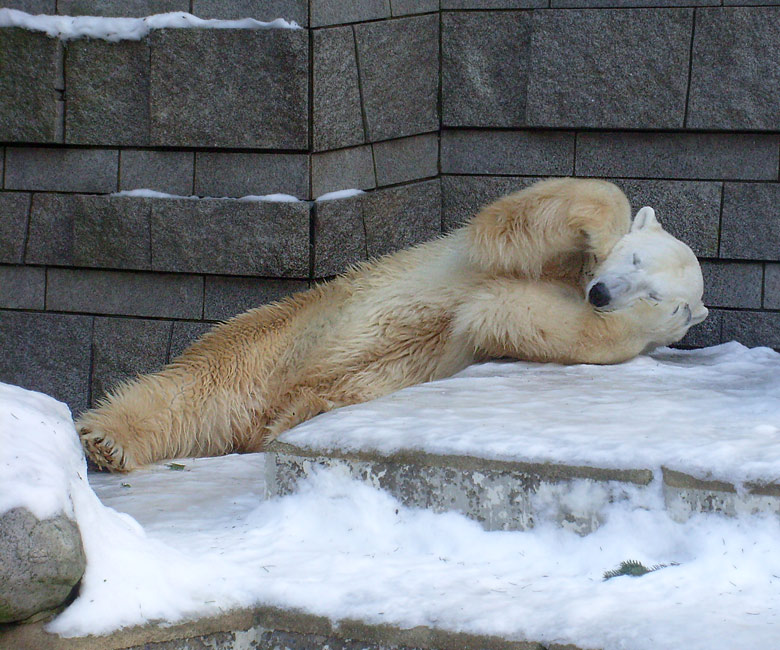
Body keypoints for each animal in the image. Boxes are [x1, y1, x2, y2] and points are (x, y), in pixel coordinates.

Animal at [77, 177, 708, 470]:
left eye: (655, 289)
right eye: (632, 259)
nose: (603, 292)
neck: (574, 280)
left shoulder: (516, 316)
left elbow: (513, 316)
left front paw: (648, 318)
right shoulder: (494, 252)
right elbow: (512, 225)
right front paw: (603, 231)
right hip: (281, 336)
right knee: (193, 388)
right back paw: (107, 438)